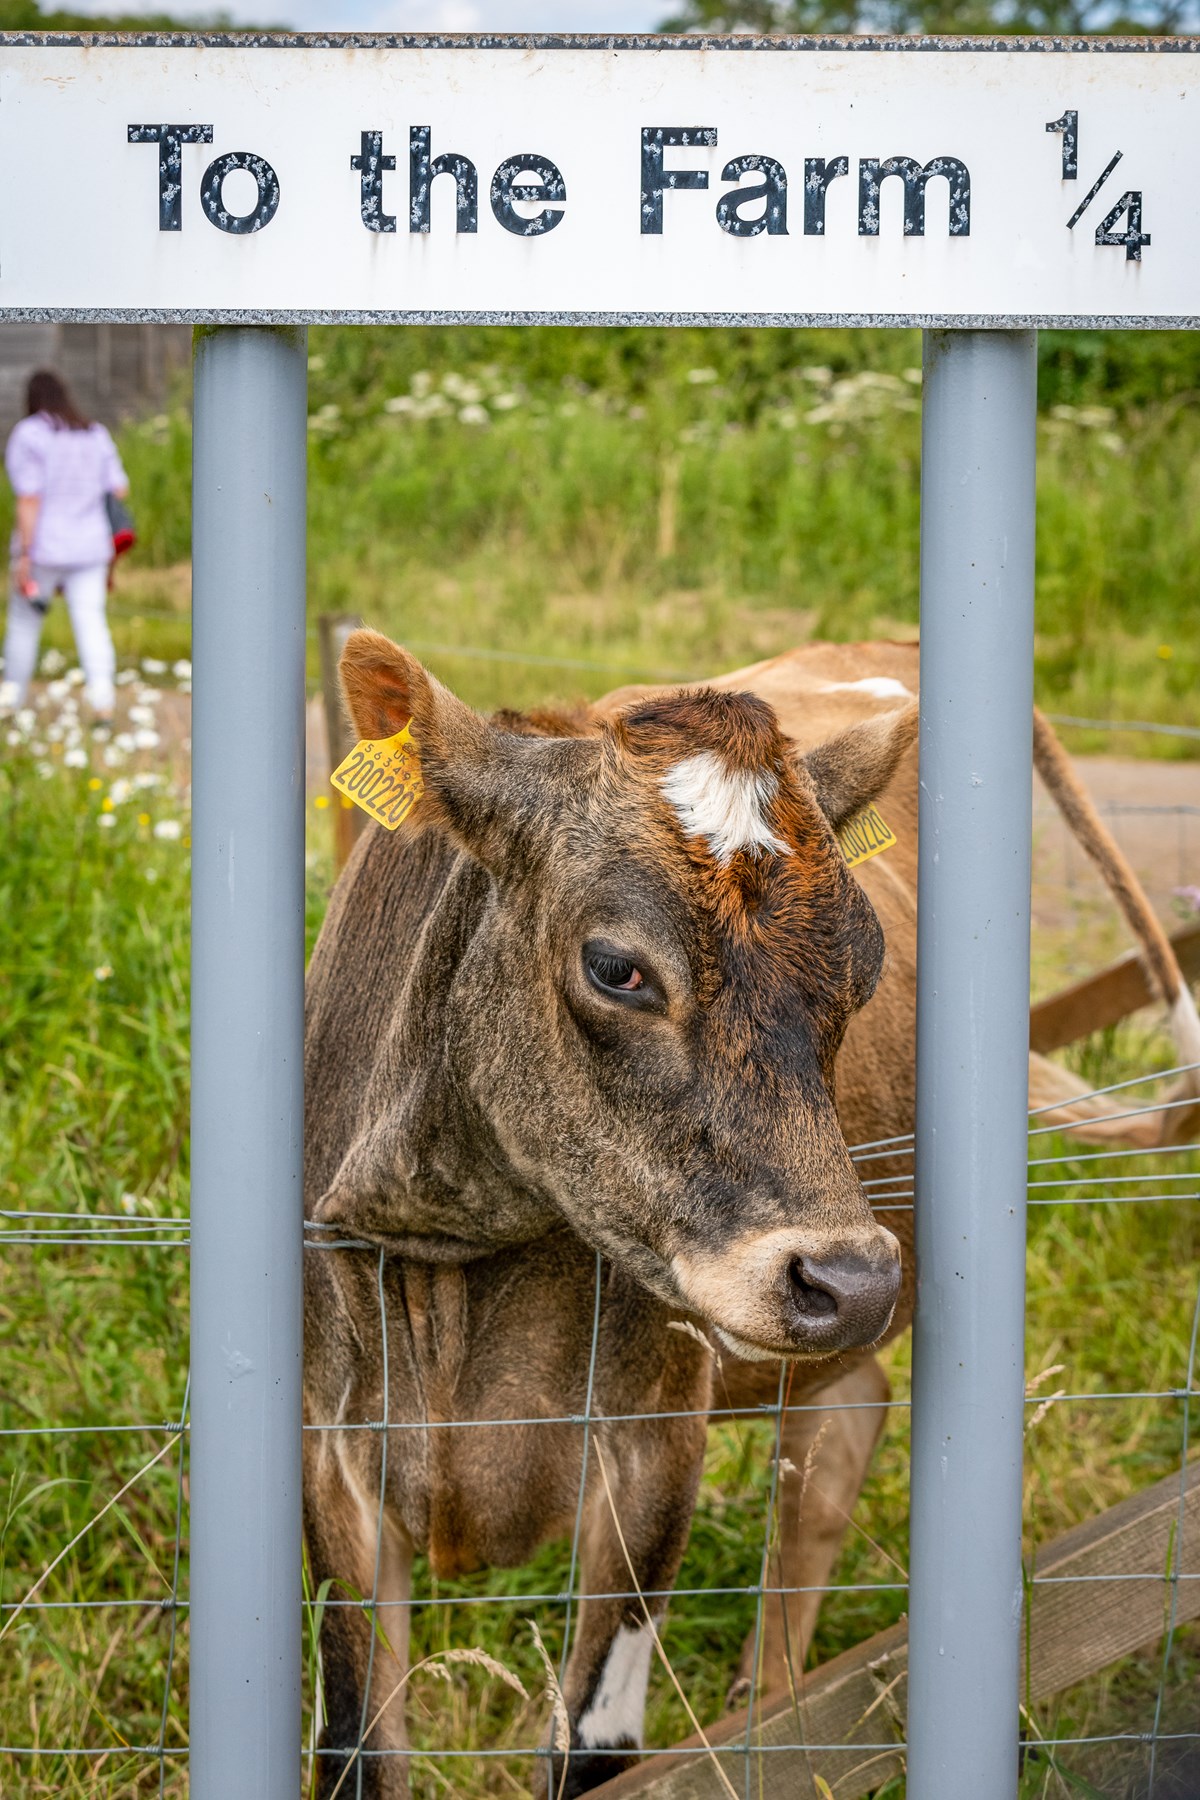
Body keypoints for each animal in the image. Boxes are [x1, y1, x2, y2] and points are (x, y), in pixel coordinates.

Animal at [300, 626, 1200, 1792]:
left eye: (867, 967)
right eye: (615, 967)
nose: (850, 1281)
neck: (457, 1273)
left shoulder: (652, 1450)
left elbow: (595, 1744)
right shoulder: (331, 1462)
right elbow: (357, 1745)